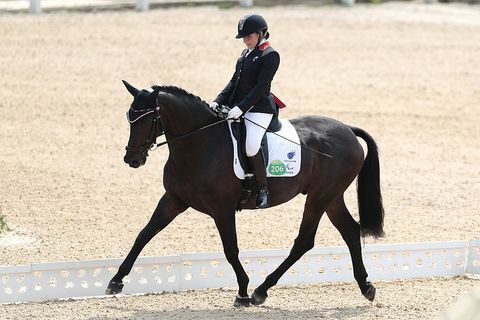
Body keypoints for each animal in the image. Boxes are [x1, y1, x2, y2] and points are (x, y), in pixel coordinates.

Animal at [107, 80, 384, 308]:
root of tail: (348, 129)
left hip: (319, 198)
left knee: (305, 241)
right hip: (331, 197)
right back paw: (366, 286)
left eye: (147, 119)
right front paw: (115, 282)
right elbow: (144, 234)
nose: (132, 159)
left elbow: (231, 250)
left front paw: (242, 292)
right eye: (129, 117)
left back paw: (260, 291)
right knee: (350, 231)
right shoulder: (174, 200)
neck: (199, 144)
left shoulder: (222, 209)